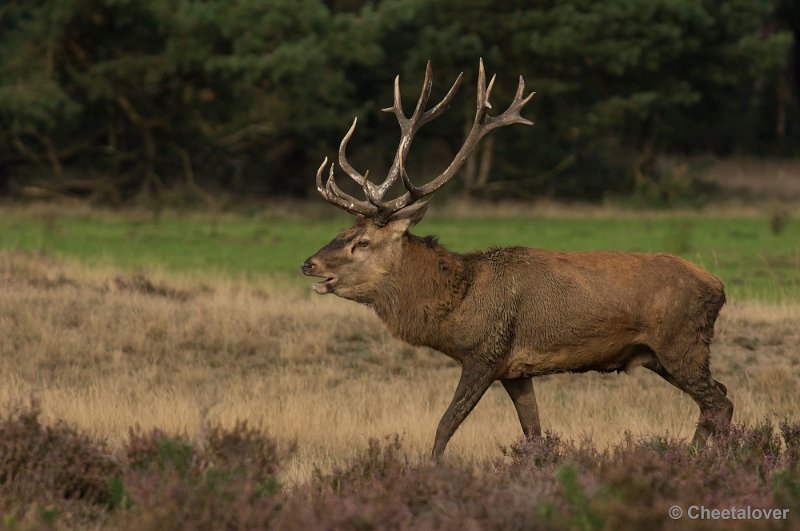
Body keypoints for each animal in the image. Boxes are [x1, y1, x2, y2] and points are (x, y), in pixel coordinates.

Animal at [300, 60, 732, 460]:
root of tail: (719, 287)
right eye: (343, 232)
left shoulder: (486, 352)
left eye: (362, 241)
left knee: (720, 402)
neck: (457, 306)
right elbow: (533, 432)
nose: (309, 264)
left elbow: (445, 425)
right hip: (661, 355)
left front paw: (431, 470)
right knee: (717, 397)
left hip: (682, 342)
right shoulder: (515, 371)